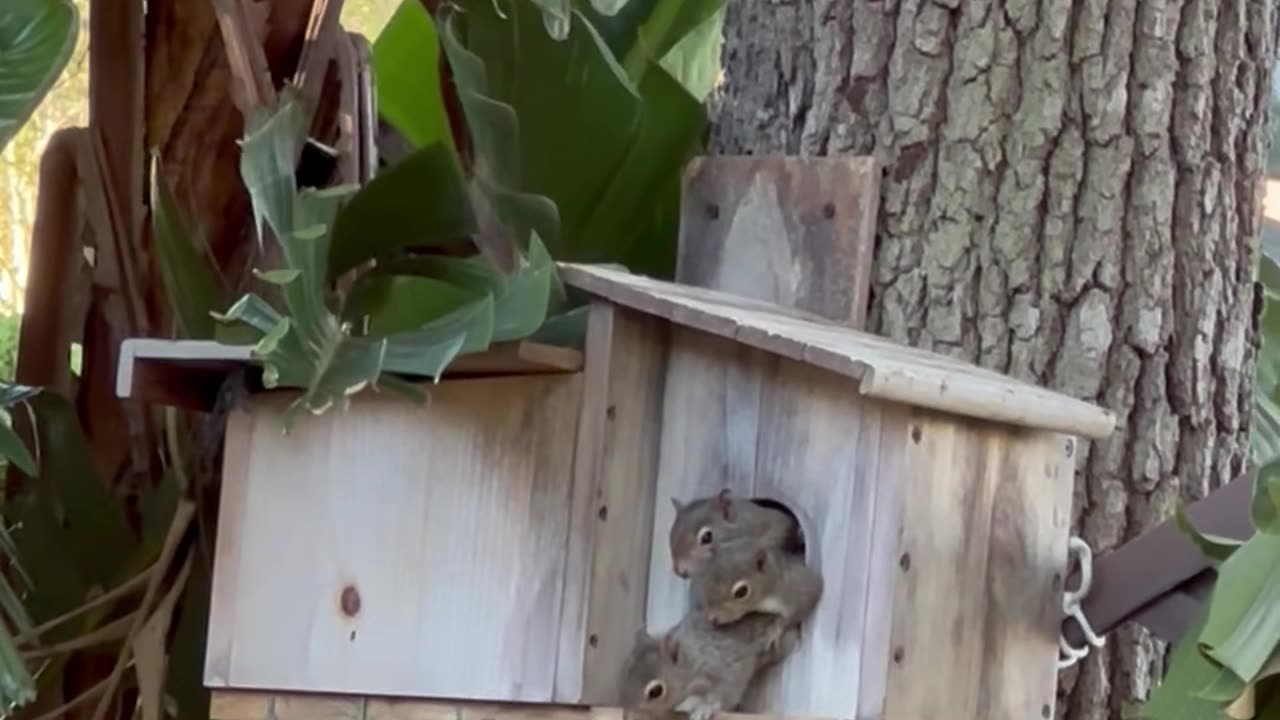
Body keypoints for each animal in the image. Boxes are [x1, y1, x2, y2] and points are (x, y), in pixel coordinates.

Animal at [619, 607, 798, 720]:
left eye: (655, 691)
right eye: (626, 671)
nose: (628, 713)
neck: (690, 660)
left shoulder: (724, 667)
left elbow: (726, 692)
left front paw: (705, 707)